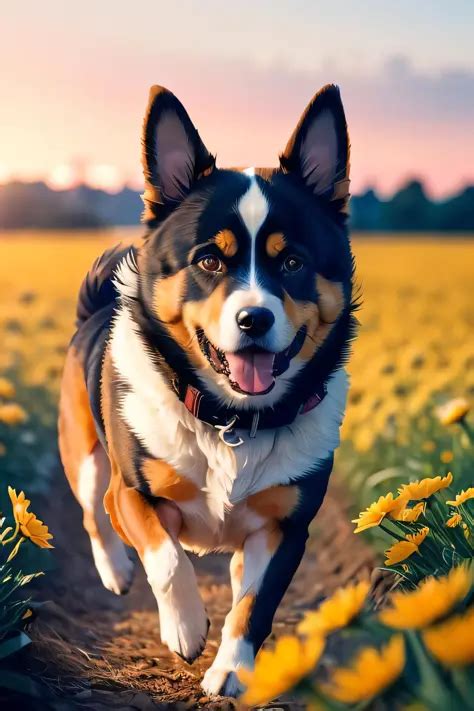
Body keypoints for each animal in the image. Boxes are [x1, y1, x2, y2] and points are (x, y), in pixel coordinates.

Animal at [58, 82, 356, 696]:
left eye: (293, 262)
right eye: (209, 260)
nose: (254, 320)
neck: (232, 421)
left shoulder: (286, 526)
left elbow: (255, 603)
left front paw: (232, 670)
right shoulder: (135, 493)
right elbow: (168, 559)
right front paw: (187, 630)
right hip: (84, 455)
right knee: (94, 512)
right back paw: (117, 572)